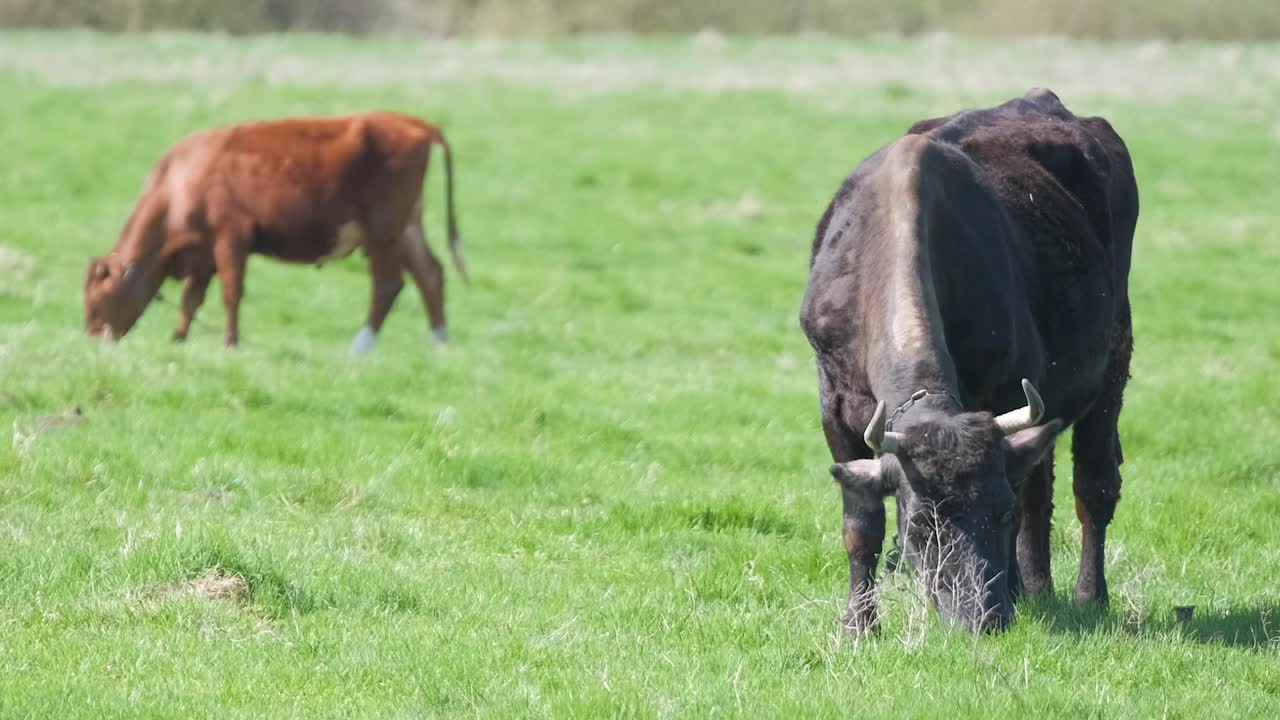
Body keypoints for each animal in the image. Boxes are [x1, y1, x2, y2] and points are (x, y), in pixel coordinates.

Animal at [81, 108, 460, 351]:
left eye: (97, 301)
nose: (94, 338)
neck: (179, 182)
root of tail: (409, 122)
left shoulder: (231, 238)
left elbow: (231, 292)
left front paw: (230, 342)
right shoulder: (203, 251)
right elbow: (192, 298)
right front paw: (179, 338)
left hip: (383, 231)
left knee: (388, 284)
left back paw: (361, 346)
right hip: (407, 227)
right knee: (430, 274)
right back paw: (439, 342)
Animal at [798, 88, 1141, 627]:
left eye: (997, 513)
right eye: (920, 526)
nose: (980, 619)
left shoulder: (1007, 390)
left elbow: (1026, 499)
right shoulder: (833, 405)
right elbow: (861, 525)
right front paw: (858, 625)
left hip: (1113, 359)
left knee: (1093, 485)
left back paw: (1086, 595)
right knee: (1039, 486)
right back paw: (1036, 588)